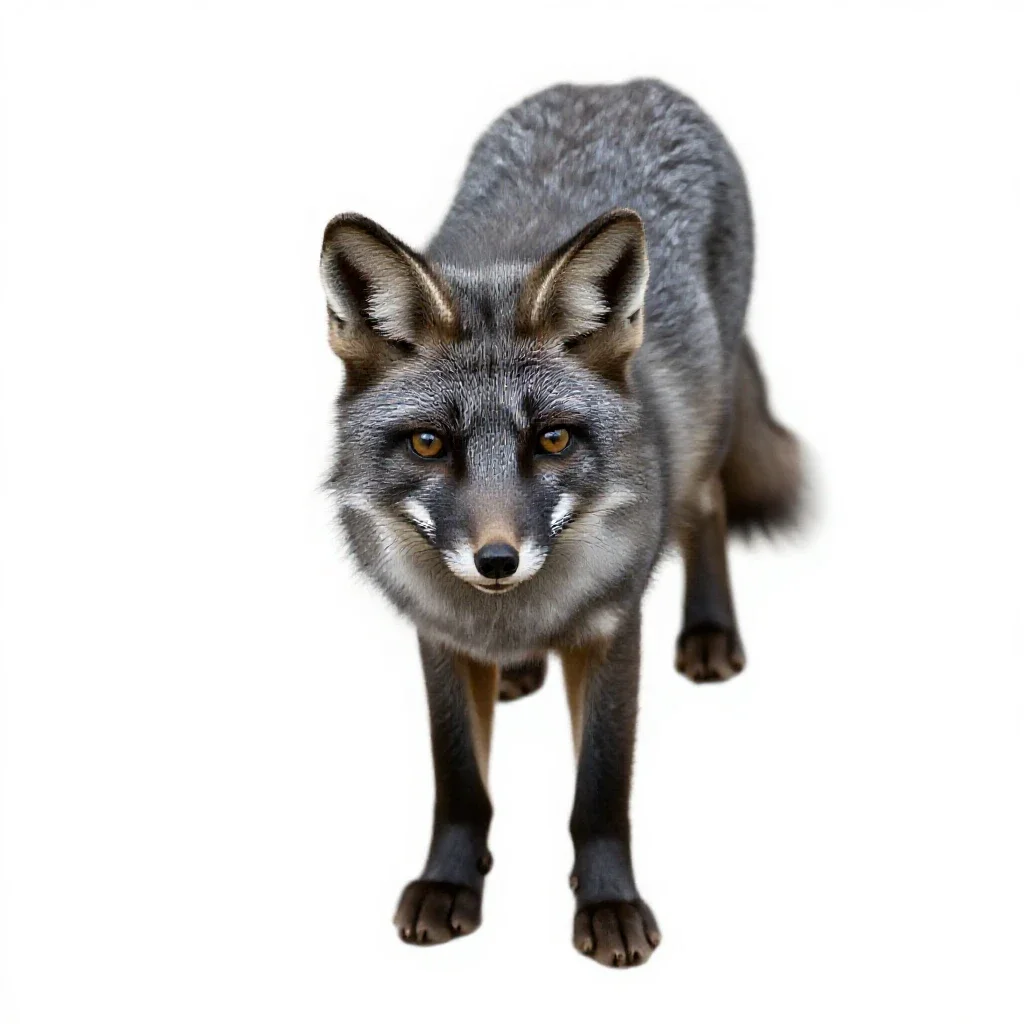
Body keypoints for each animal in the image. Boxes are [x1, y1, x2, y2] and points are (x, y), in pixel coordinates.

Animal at [319, 79, 803, 968]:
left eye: (552, 439)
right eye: (430, 443)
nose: (497, 561)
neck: (512, 615)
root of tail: (620, 84)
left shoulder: (612, 628)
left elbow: (601, 792)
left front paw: (608, 902)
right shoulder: (437, 635)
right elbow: (460, 783)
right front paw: (450, 882)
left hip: (709, 426)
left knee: (709, 507)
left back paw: (710, 633)